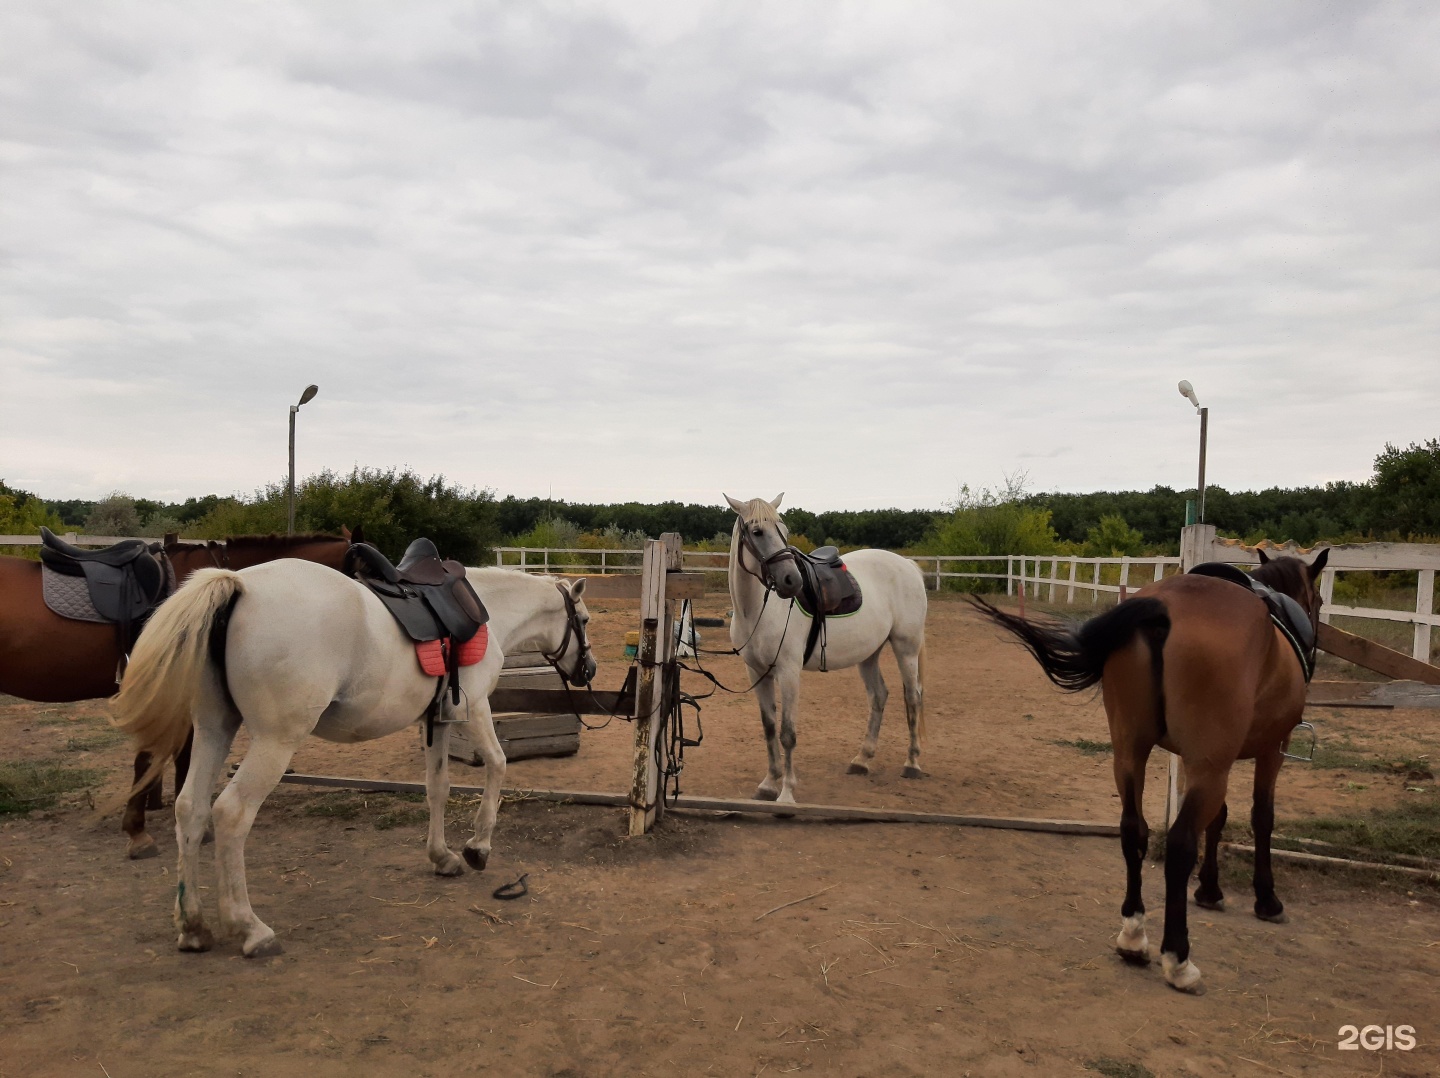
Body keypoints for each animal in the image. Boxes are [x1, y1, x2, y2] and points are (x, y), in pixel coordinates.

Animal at [110, 555, 596, 961]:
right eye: (585, 619)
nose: (588, 671)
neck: (487, 609)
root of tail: (240, 586)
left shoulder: (436, 721)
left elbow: (437, 788)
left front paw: (442, 857)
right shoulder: (473, 708)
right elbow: (497, 765)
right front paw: (477, 848)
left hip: (215, 728)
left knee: (190, 810)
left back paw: (193, 926)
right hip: (274, 741)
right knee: (231, 814)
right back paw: (250, 928)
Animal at [720, 495, 933, 800]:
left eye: (783, 531)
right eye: (757, 532)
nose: (792, 581)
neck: (758, 610)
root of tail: (906, 564)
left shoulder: (788, 671)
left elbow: (787, 733)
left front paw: (786, 792)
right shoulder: (757, 672)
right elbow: (769, 727)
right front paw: (769, 783)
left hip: (907, 647)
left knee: (913, 697)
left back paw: (912, 762)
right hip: (869, 654)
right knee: (879, 696)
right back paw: (862, 759)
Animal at [973, 546, 1330, 990]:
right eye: (1318, 601)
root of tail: (1163, 608)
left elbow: (1218, 818)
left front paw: (1209, 890)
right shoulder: (1268, 750)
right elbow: (1260, 817)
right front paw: (1266, 899)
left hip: (1130, 752)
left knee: (1133, 830)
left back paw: (1133, 936)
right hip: (1207, 763)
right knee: (1179, 844)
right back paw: (1178, 959)